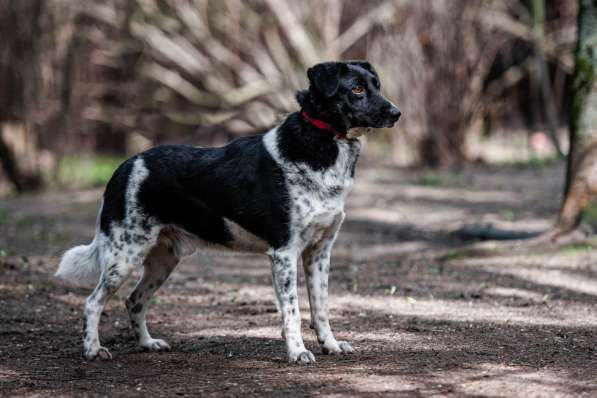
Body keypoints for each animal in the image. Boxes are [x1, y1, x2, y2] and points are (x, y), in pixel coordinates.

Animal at [56, 59, 400, 364]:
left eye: (377, 86)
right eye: (356, 89)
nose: (396, 113)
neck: (325, 143)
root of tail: (124, 167)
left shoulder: (319, 252)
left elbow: (321, 308)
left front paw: (330, 345)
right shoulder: (284, 252)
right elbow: (292, 311)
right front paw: (297, 352)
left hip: (162, 259)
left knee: (134, 300)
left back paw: (147, 344)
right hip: (124, 256)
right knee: (92, 302)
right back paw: (92, 350)